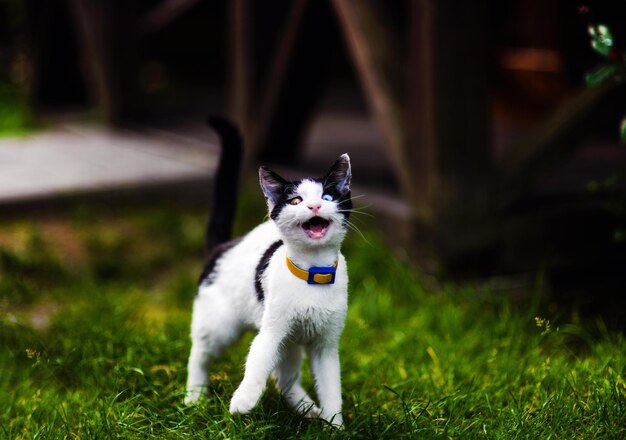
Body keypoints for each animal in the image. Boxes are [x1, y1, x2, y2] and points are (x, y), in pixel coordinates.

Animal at [184, 117, 352, 426]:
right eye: (296, 201)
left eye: (327, 196)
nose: (315, 205)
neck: (313, 273)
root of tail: (223, 247)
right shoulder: (272, 330)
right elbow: (258, 360)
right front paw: (243, 401)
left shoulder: (325, 344)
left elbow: (331, 385)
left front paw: (335, 424)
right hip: (220, 325)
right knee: (200, 353)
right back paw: (195, 396)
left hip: (291, 343)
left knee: (284, 377)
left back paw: (307, 408)